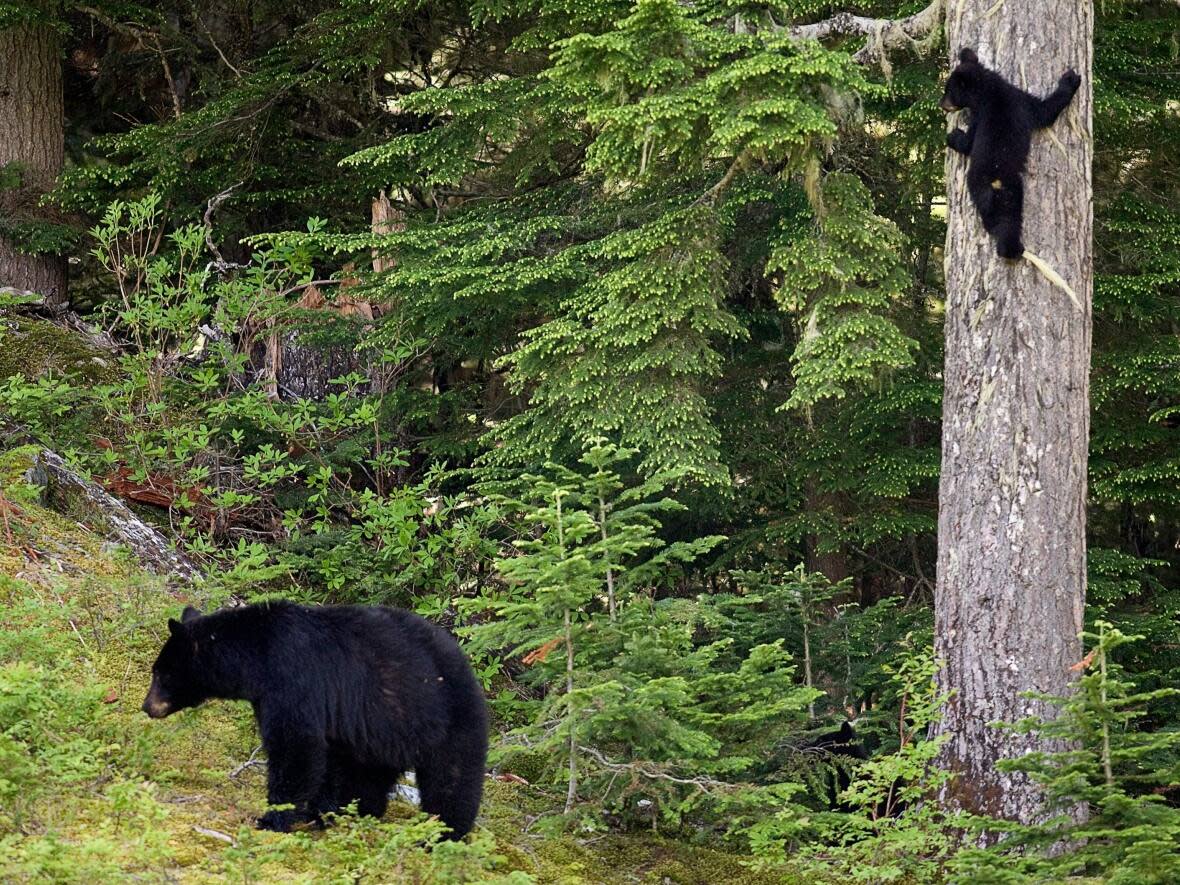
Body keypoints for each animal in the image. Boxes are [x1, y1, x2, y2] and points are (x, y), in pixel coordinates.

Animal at [142, 604, 488, 840]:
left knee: (452, 781)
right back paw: (357, 814)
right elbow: (326, 762)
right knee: (369, 778)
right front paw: (318, 812)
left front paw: (273, 818)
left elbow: (295, 747)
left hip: (448, 722)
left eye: (161, 673)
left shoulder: (294, 683)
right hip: (382, 734)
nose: (147, 706)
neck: (257, 655)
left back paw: (443, 835)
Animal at [939, 47, 1080, 259]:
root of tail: (993, 183)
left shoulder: (985, 114)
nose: (941, 104)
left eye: (949, 91)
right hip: (1004, 190)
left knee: (1002, 219)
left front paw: (954, 136)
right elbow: (1044, 110)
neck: (990, 89)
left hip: (997, 187)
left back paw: (1009, 249)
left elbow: (969, 143)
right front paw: (1071, 80)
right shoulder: (1020, 100)